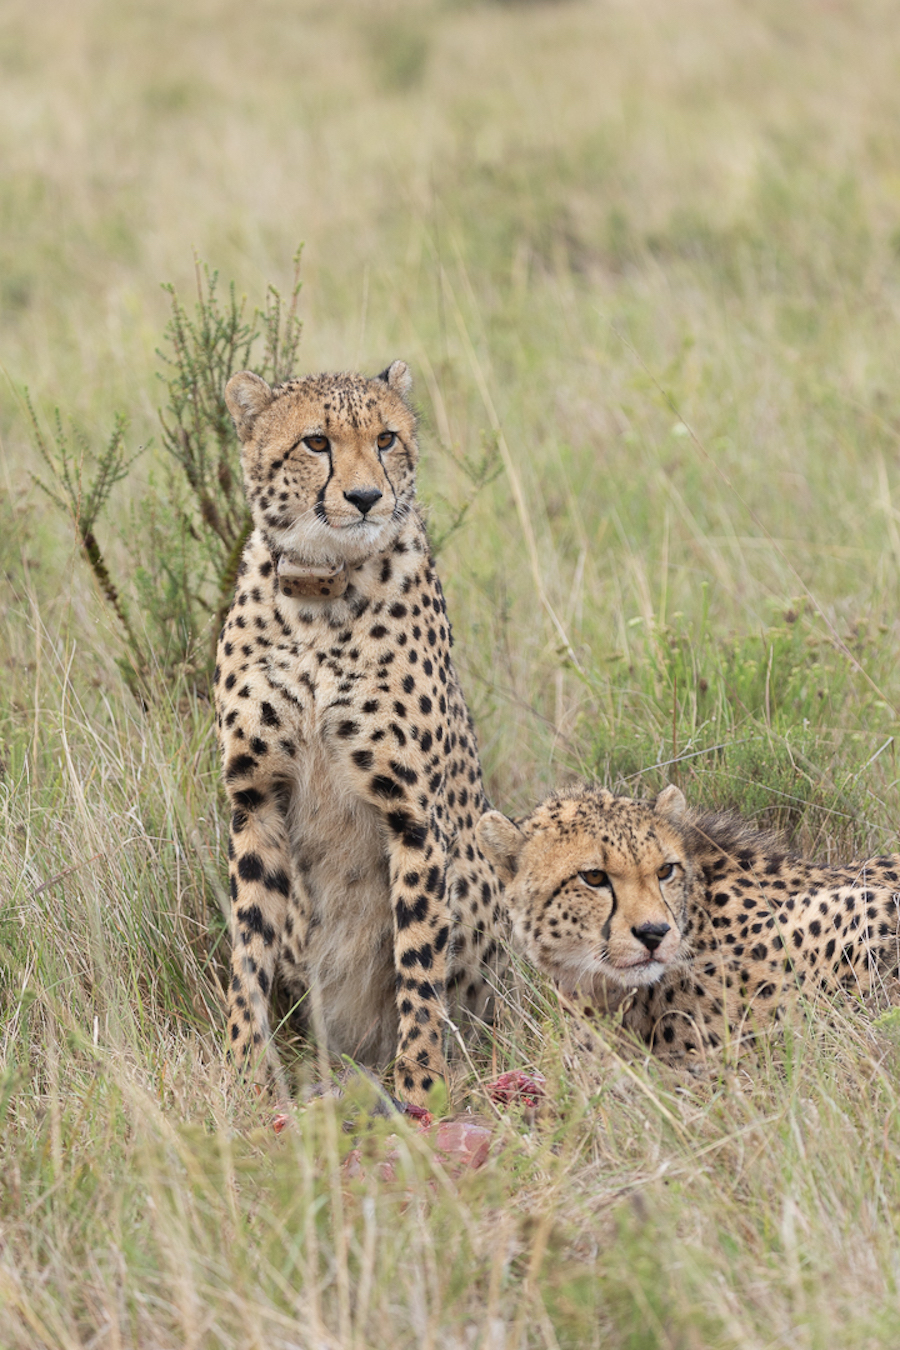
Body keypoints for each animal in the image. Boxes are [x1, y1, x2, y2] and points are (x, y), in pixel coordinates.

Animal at [213, 361, 507, 1107]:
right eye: (316, 442)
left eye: (386, 438)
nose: (368, 497)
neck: (320, 593)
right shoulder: (254, 799)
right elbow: (248, 945)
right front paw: (242, 1072)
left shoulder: (414, 814)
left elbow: (419, 959)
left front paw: (423, 1082)